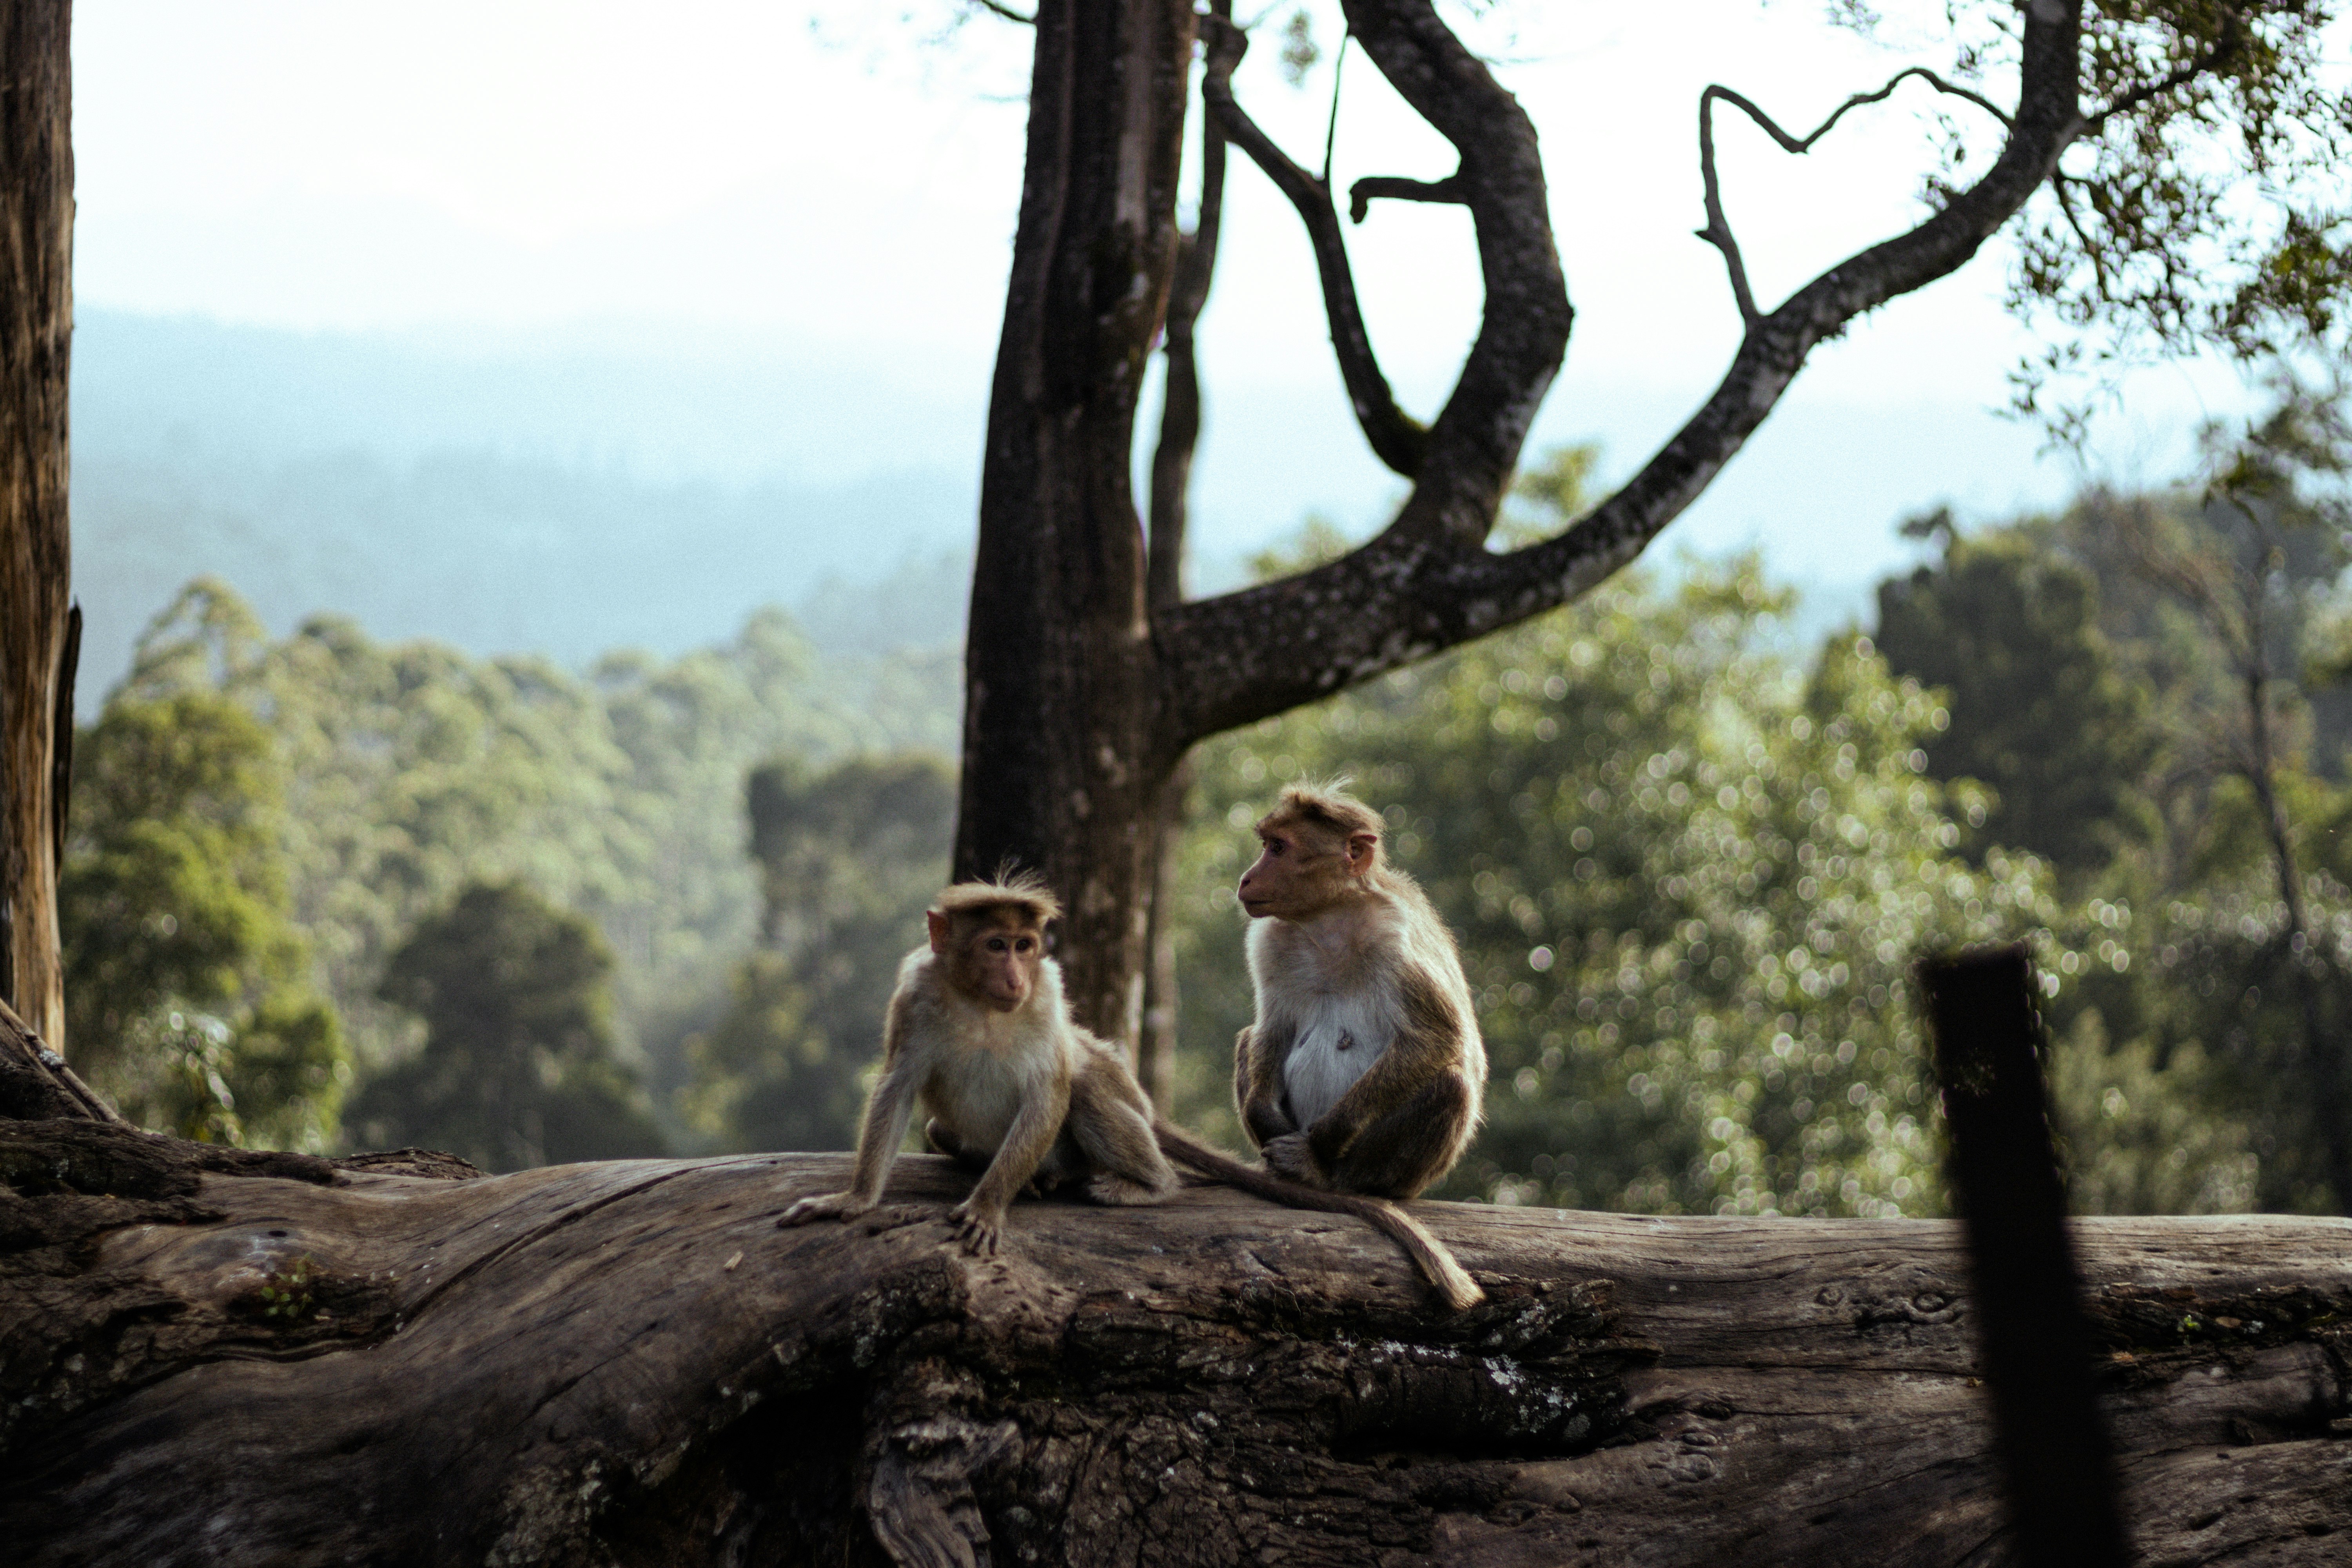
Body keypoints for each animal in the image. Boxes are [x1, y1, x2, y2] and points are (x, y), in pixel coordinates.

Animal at [780, 875, 1483, 1310]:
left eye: (1025, 947)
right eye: (995, 945)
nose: (1015, 974)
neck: (981, 1004)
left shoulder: (1047, 996)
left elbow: (1051, 1088)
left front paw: (987, 1206)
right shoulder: (916, 994)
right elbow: (898, 1089)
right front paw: (854, 1201)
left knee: (1089, 1087)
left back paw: (1141, 1184)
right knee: (940, 1130)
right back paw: (1041, 1181)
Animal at [1232, 782, 1487, 1206]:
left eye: (1278, 848)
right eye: (1267, 844)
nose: (1246, 879)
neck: (1327, 920)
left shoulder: (1392, 935)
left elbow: (1437, 1038)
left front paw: (1323, 1140)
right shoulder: (1270, 942)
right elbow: (1271, 1029)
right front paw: (1263, 1116)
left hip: (1400, 1175)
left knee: (1450, 1084)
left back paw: (1328, 1176)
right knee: (1247, 1039)